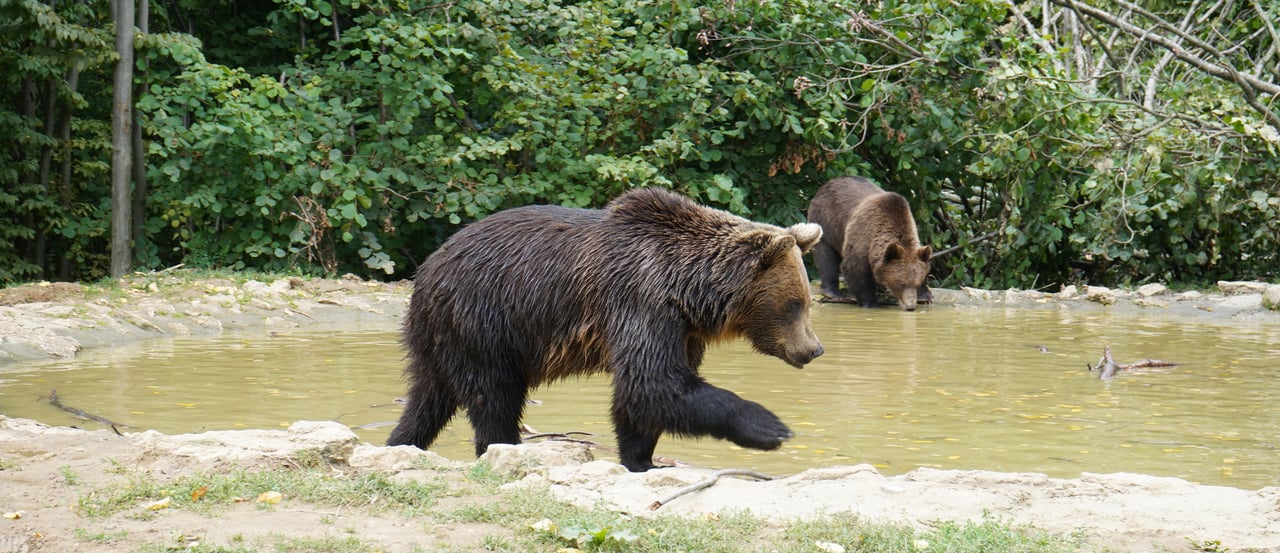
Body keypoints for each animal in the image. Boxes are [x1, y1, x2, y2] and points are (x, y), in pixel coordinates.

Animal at [389, 186, 824, 471]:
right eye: (796, 303)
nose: (814, 348)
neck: (689, 290)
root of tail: (425, 270)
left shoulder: (681, 329)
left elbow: (645, 394)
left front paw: (642, 460)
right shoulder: (640, 298)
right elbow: (653, 382)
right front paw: (768, 426)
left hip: (443, 337)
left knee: (428, 397)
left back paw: (401, 442)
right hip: (483, 321)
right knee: (494, 395)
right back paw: (504, 447)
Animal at [803, 175, 936, 308]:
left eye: (916, 283)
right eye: (901, 283)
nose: (910, 305)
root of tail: (828, 183)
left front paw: (926, 296)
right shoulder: (863, 237)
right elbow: (855, 269)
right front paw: (871, 302)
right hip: (826, 223)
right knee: (826, 258)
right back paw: (834, 292)